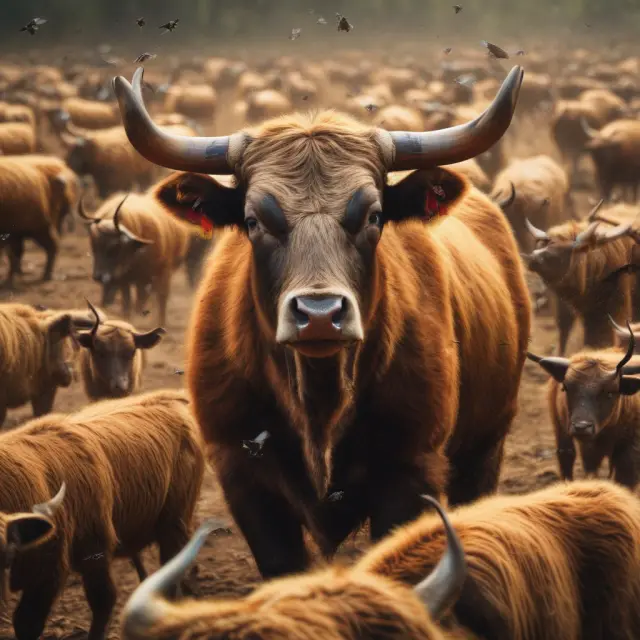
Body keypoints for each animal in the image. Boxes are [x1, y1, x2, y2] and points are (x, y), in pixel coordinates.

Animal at [112, 64, 530, 579]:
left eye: (374, 216)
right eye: (253, 220)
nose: (319, 316)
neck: (319, 404)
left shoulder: (412, 470)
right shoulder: (243, 477)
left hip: (486, 446)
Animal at [528, 322, 640, 488]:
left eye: (610, 392)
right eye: (566, 388)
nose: (581, 427)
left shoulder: (629, 450)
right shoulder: (588, 449)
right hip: (561, 431)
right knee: (566, 458)